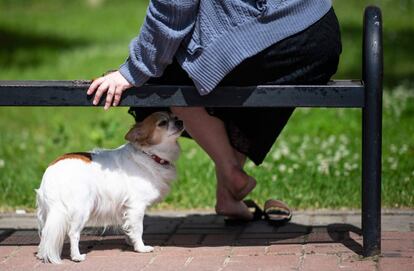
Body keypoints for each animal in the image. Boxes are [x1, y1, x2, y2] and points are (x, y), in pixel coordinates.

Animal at [34, 111, 184, 264]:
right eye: (162, 123)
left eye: (175, 117)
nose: (180, 121)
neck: (149, 155)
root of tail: (52, 173)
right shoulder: (136, 207)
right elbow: (138, 229)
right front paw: (140, 247)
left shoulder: (125, 207)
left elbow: (128, 227)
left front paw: (131, 242)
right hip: (82, 209)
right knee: (73, 233)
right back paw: (77, 256)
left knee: (45, 234)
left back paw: (41, 254)